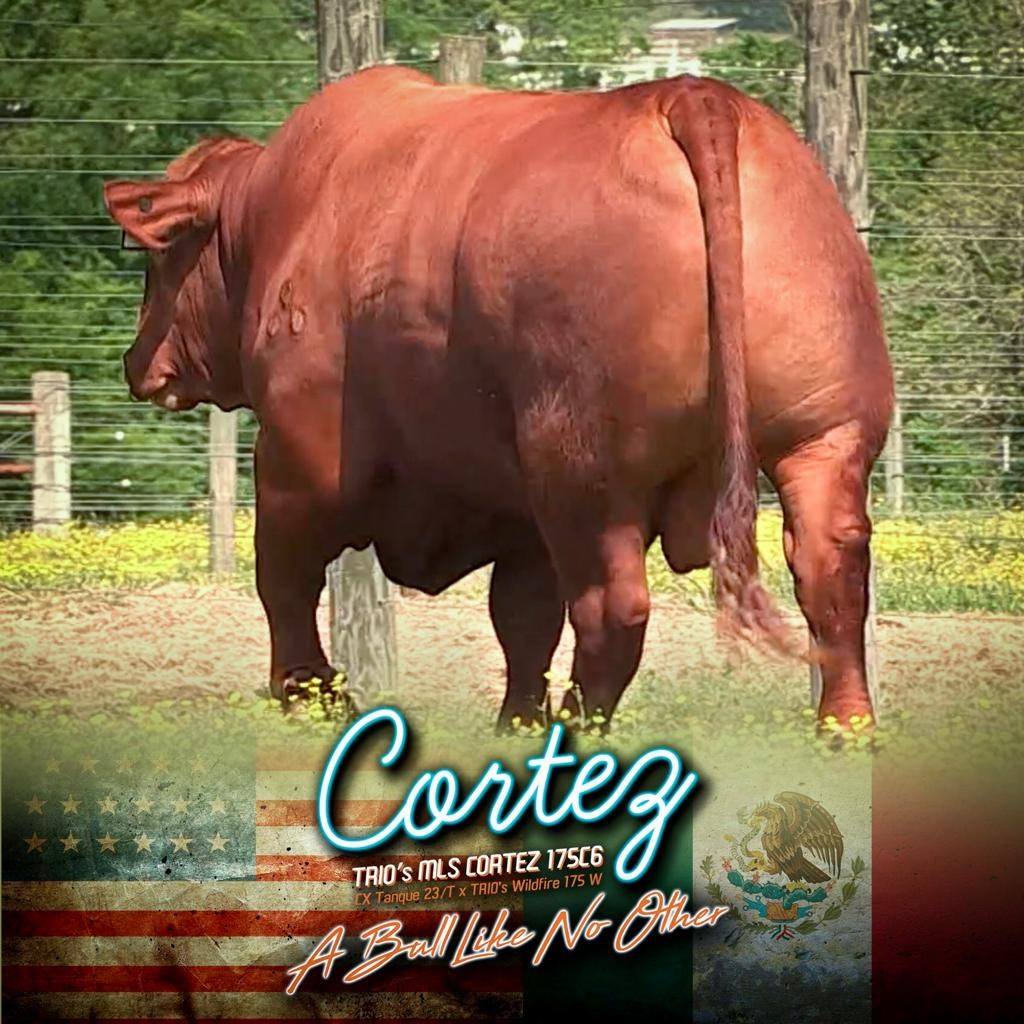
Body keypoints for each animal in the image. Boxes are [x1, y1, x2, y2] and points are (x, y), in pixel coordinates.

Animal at [103, 68, 893, 731]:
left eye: (159, 259)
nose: (138, 362)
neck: (278, 211)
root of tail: (687, 96)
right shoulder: (518, 513)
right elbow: (523, 618)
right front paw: (513, 724)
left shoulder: (301, 460)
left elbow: (284, 581)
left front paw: (310, 699)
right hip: (824, 435)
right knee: (830, 570)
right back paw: (844, 729)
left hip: (585, 470)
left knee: (613, 608)